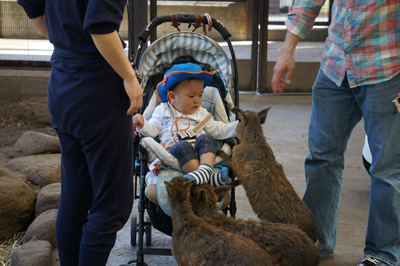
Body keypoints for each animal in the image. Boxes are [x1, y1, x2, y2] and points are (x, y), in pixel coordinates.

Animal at [216, 107, 318, 243]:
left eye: (239, 121)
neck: (254, 140)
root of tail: (314, 234)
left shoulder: (236, 161)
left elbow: (228, 158)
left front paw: (220, 151)